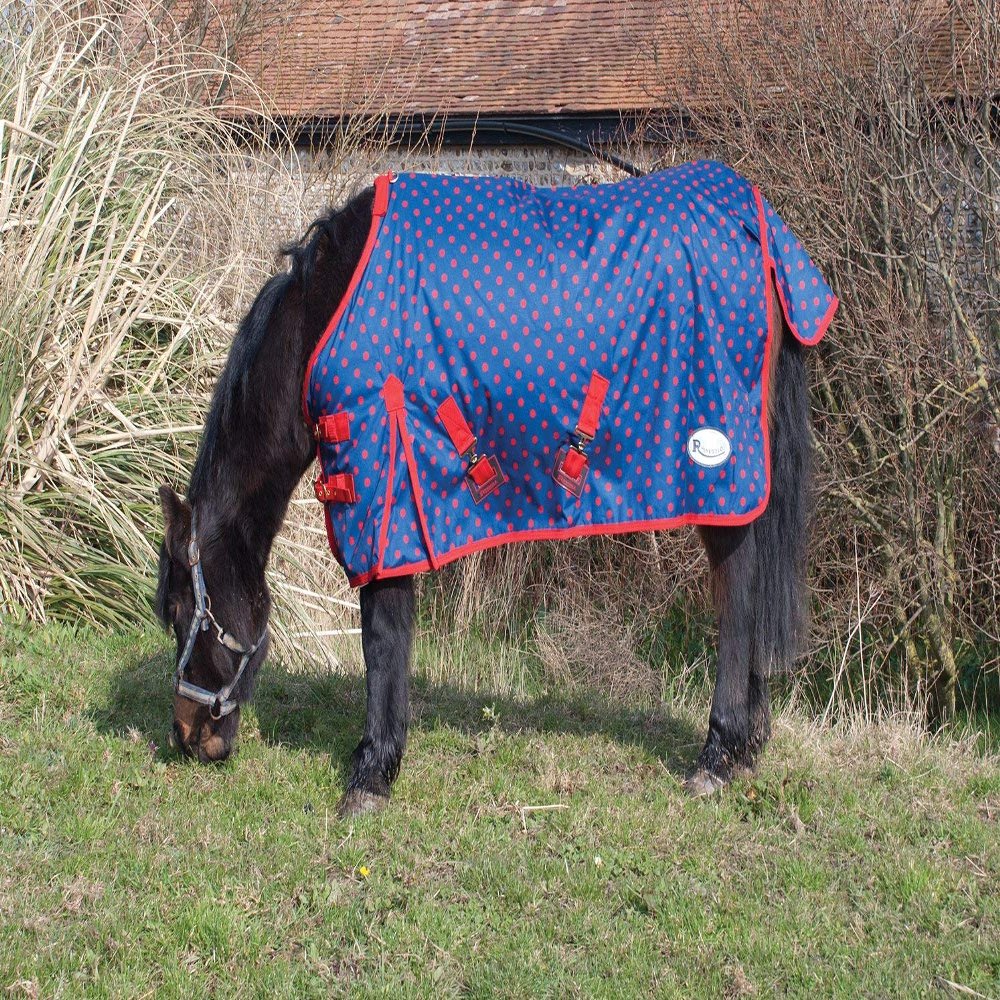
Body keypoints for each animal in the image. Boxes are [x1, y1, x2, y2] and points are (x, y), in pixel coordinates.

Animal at [155, 161, 836, 817]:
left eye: (182, 613)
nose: (189, 738)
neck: (323, 314)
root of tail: (758, 225)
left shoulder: (383, 498)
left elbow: (382, 636)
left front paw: (372, 774)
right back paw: (746, 747)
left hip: (718, 477)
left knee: (738, 596)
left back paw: (718, 754)